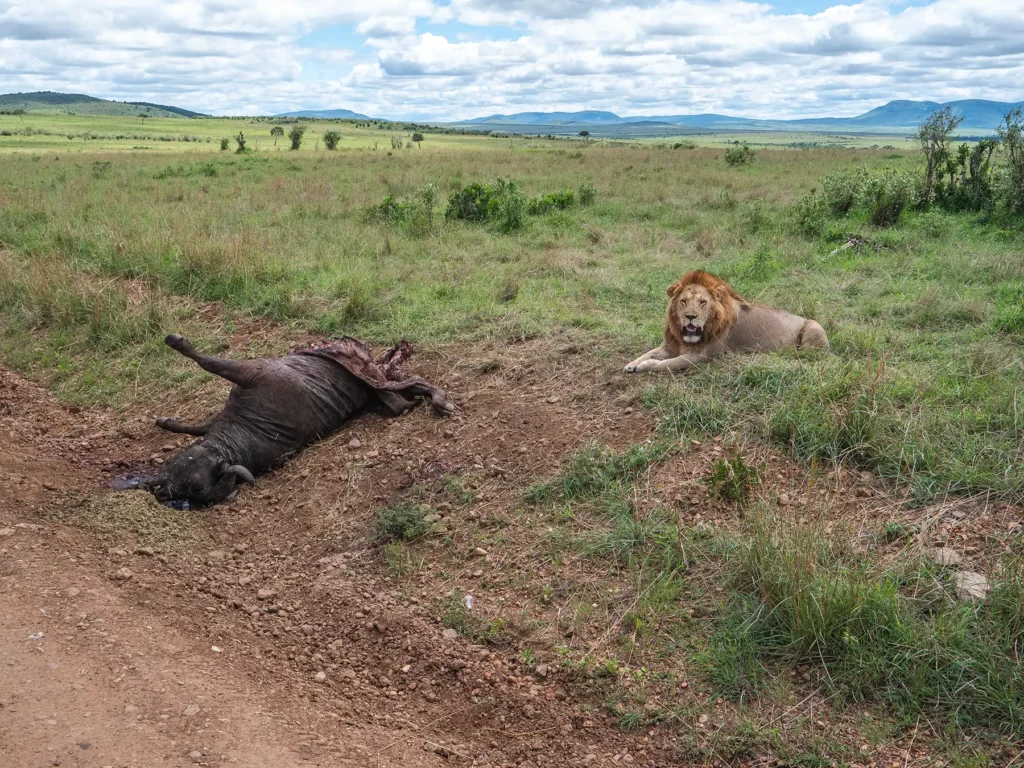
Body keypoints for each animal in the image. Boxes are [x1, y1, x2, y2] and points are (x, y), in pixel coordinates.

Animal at [624, 270, 829, 373]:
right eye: (683, 301)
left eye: (702, 302)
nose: (690, 316)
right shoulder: (669, 346)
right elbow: (649, 352)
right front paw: (631, 364)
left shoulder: (704, 356)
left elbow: (669, 363)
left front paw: (645, 366)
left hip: (814, 326)